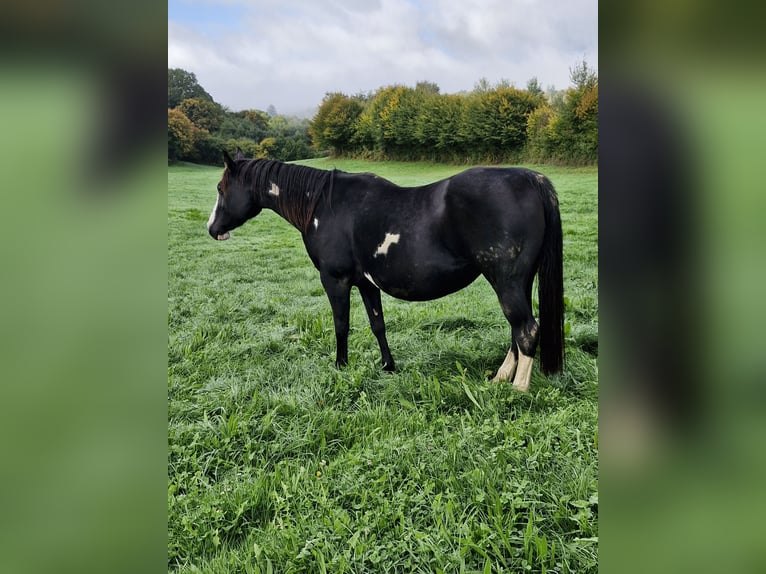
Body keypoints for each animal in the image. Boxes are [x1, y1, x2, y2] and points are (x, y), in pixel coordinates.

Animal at [207, 150, 564, 392]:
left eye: (221, 188)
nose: (212, 229)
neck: (324, 203)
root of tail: (530, 179)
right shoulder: (367, 284)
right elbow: (378, 325)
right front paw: (388, 366)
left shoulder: (335, 281)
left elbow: (341, 325)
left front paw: (340, 365)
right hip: (518, 282)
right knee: (517, 331)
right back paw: (500, 377)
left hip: (506, 282)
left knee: (526, 329)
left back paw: (517, 389)